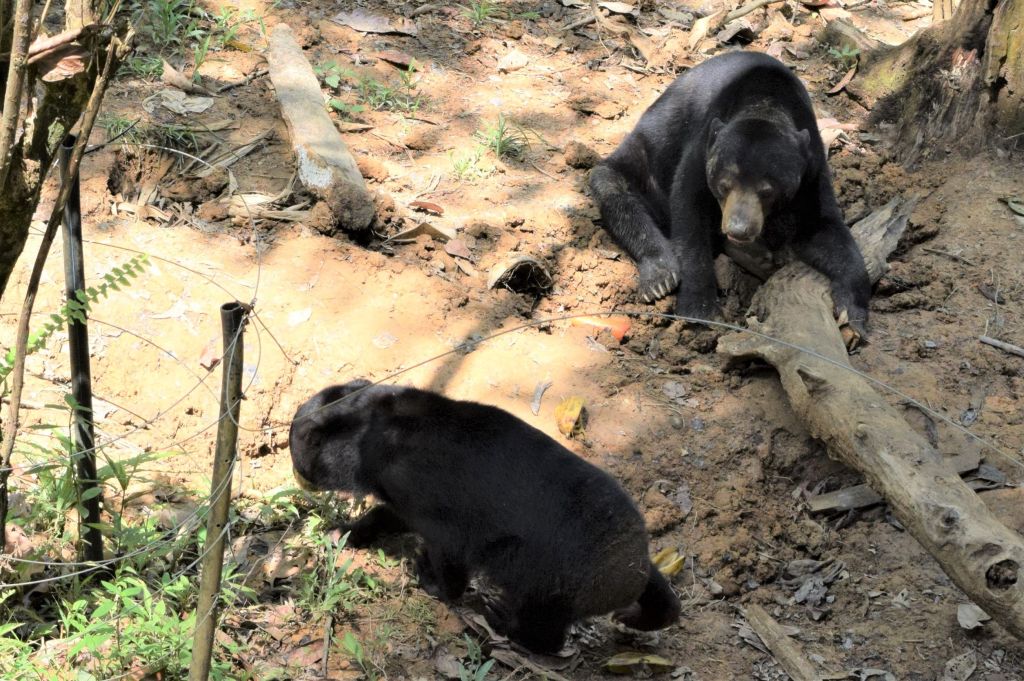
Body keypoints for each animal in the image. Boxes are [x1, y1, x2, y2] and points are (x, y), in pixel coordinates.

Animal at [288, 380, 681, 654]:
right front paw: (345, 531)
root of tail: (634, 571)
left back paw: (503, 620)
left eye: (293, 450)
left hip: (554, 587)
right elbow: (389, 516)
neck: (371, 429)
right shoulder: (405, 497)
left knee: (544, 633)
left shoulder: (435, 508)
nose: (297, 475)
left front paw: (427, 577)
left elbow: (449, 562)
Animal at [589, 50, 871, 343]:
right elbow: (689, 210)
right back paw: (660, 276)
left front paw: (854, 313)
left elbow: (822, 227)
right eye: (724, 185)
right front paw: (699, 309)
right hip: (645, 155)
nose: (738, 229)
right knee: (613, 187)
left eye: (767, 190)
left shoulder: (811, 169)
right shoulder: (703, 146)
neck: (766, 104)